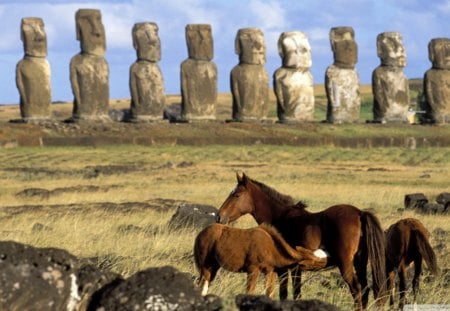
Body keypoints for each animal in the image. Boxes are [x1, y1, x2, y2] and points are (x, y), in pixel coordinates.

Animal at [193, 223, 326, 298]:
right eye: (316, 261)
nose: (328, 261)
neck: (271, 248)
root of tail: (200, 235)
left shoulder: (270, 271)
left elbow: (270, 292)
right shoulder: (253, 270)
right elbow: (250, 291)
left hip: (214, 267)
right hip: (206, 266)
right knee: (202, 285)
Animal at [216, 174, 384, 310]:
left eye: (237, 195)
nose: (219, 216)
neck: (280, 218)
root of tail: (359, 213)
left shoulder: (283, 270)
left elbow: (284, 293)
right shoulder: (296, 269)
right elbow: (296, 293)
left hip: (346, 265)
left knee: (356, 290)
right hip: (360, 263)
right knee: (364, 290)